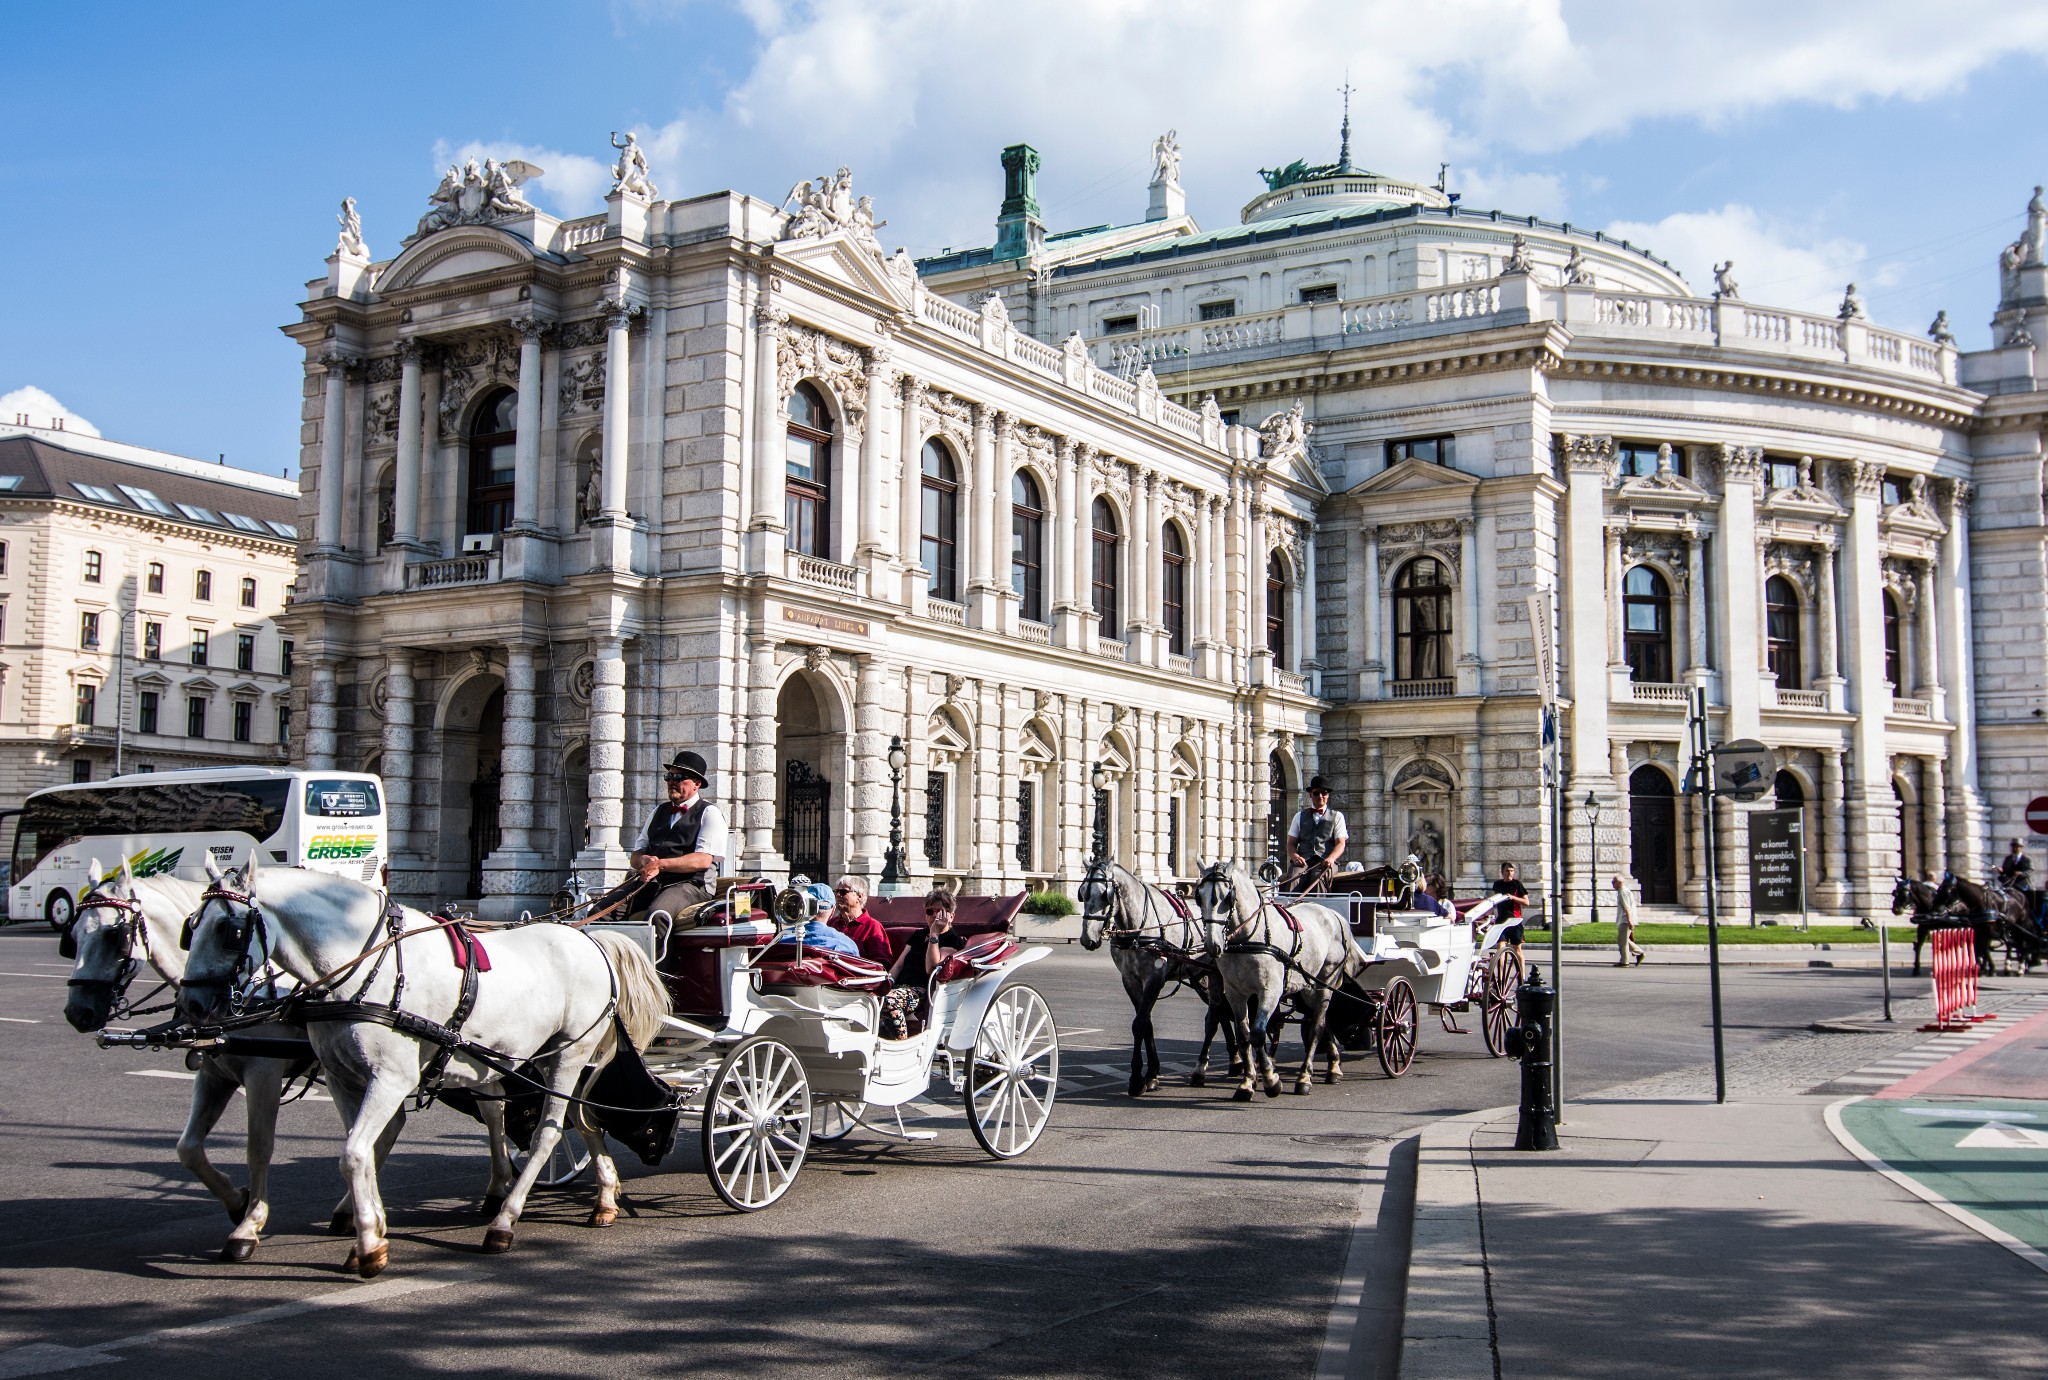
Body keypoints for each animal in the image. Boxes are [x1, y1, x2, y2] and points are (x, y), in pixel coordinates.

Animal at [62, 859, 516, 1261]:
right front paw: (237, 1201)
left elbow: (259, 1146)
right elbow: (188, 1148)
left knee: (489, 1113)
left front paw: (248, 1225)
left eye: (115, 935)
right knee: (468, 1113)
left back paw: (497, 1192)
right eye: (73, 937)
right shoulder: (215, 1072)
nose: (77, 1013)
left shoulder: (262, 1070)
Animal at [177, 855, 671, 1277]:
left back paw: (504, 1221)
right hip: (554, 1057)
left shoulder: (389, 1079)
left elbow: (352, 1153)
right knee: (580, 1118)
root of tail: (589, 938)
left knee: (548, 1132)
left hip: (569, 1052)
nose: (193, 1005)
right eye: (190, 927)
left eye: (228, 930)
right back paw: (603, 1198)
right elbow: (362, 1151)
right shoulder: (341, 1079)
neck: (365, 970)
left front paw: (369, 1247)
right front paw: (366, 1228)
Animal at [1081, 855, 1236, 1089]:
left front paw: (1137, 1079)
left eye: (1104, 894)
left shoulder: (1154, 979)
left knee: (1222, 1013)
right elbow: (1147, 1025)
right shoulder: (1131, 981)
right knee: (1222, 1012)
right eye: (1082, 893)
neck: (1138, 931)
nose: (1087, 939)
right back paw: (1236, 1060)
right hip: (1202, 978)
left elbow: (1139, 1024)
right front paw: (1152, 1073)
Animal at [1196, 859, 1368, 1097]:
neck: (1250, 937)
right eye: (1199, 897)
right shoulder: (1234, 993)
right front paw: (1247, 1082)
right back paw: (1333, 1066)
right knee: (1322, 1020)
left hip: (1326, 982)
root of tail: (1334, 915)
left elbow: (1258, 1033)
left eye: (1227, 897)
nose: (1213, 946)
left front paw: (1271, 1080)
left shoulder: (1270, 991)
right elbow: (1244, 1035)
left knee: (1317, 1026)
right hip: (1308, 987)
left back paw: (1304, 1077)